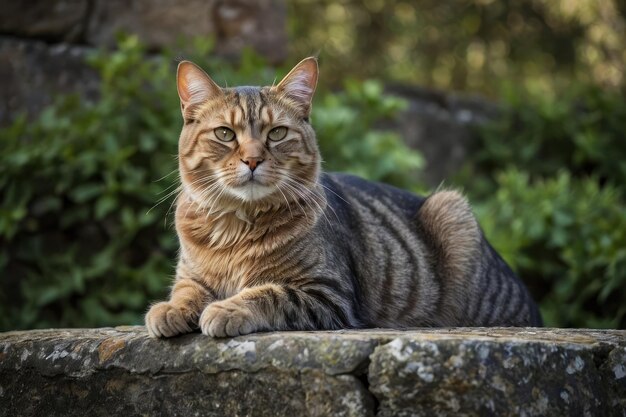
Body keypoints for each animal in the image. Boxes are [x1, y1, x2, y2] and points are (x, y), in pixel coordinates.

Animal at [144, 57, 540, 338]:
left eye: (277, 133)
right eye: (225, 134)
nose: (253, 159)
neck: (236, 226)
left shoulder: (327, 294)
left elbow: (267, 293)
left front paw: (226, 309)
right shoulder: (191, 276)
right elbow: (186, 291)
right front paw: (169, 309)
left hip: (451, 207)